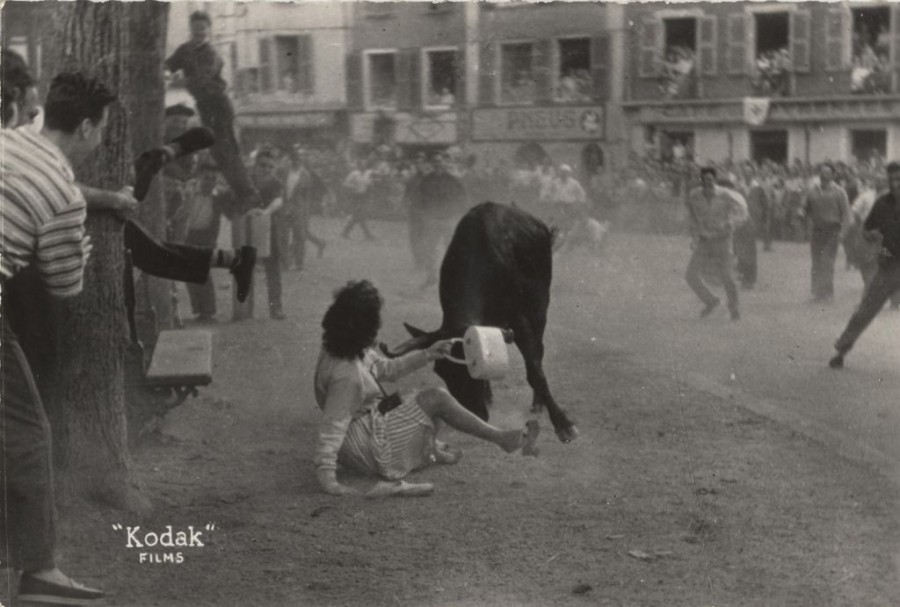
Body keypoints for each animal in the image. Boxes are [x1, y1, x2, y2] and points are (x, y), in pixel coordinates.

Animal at [384, 202, 580, 444]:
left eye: (473, 367)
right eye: (441, 372)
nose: (474, 413)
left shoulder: (518, 317)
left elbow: (534, 370)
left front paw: (563, 424)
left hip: (540, 302)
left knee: (539, 349)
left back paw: (538, 402)